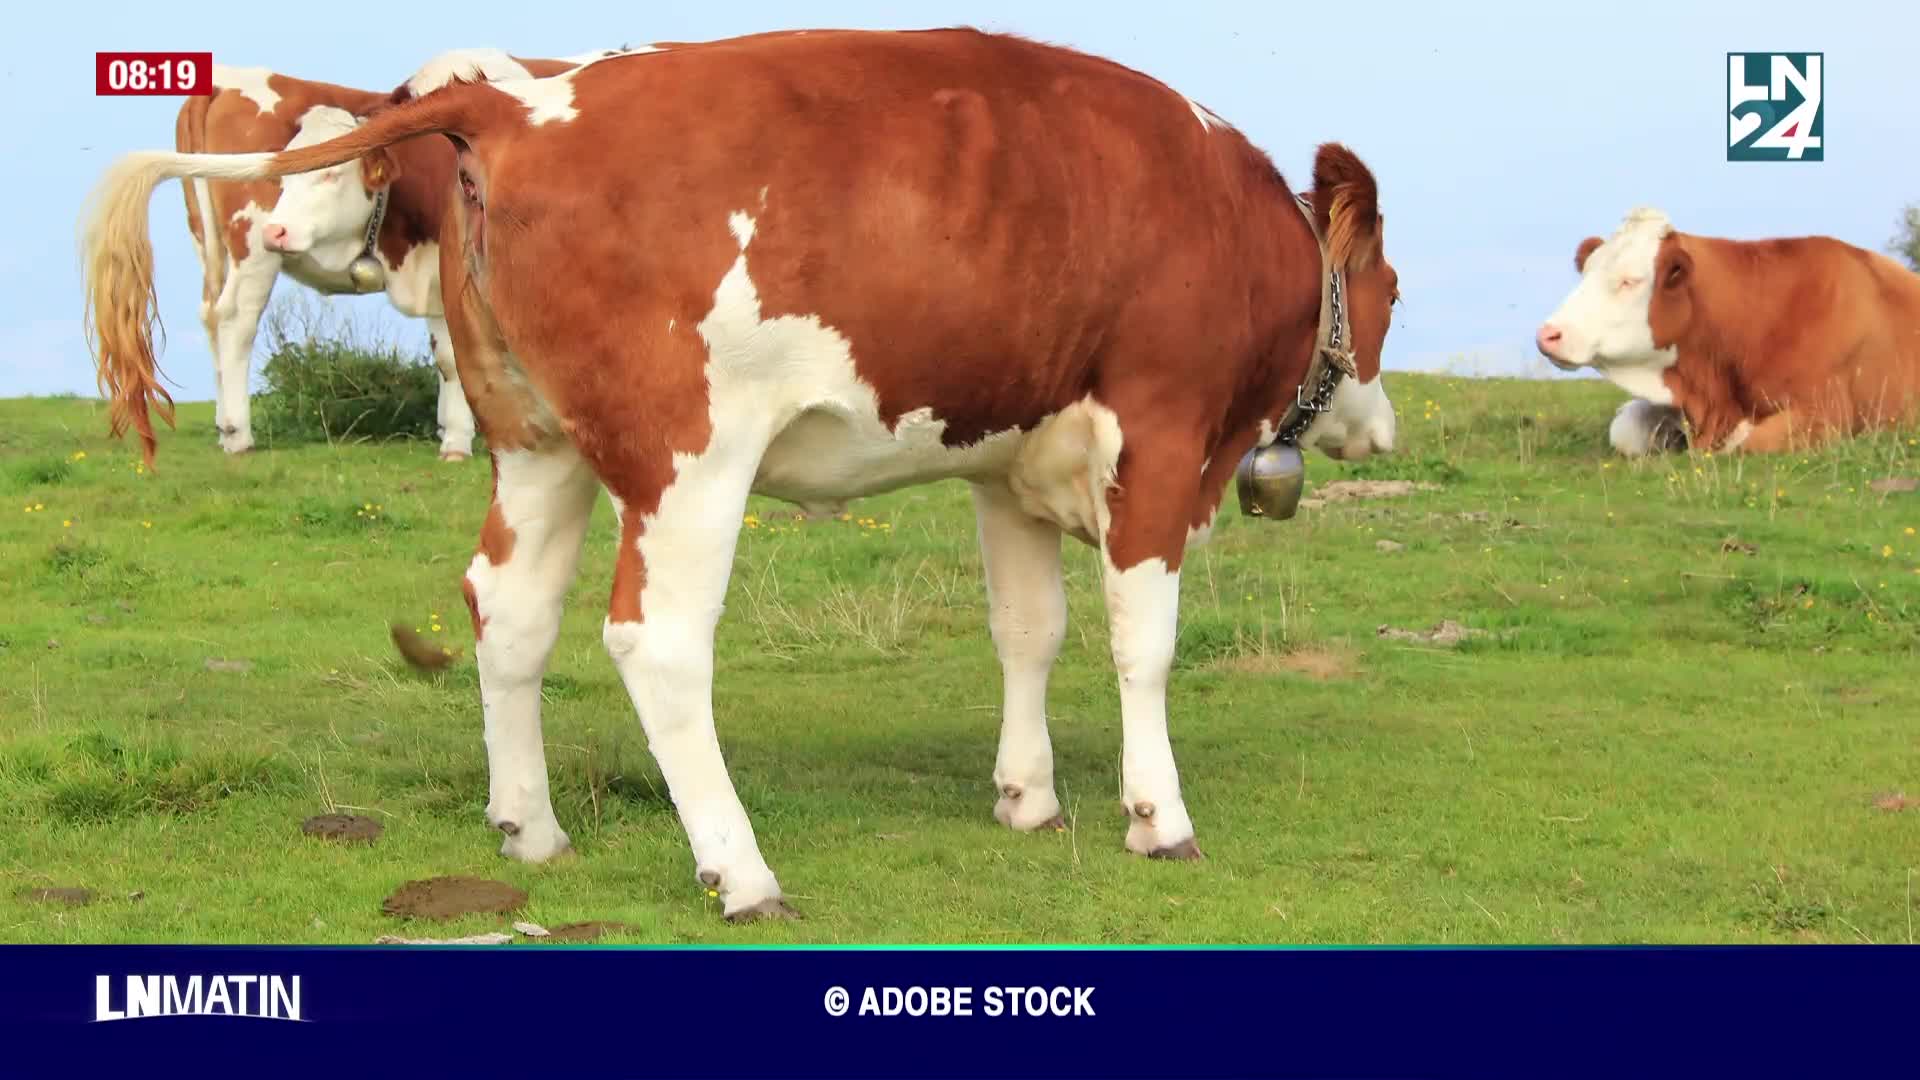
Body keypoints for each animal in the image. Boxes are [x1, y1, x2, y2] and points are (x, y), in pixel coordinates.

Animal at [169, 50, 581, 458]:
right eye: (285, 176)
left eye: (331, 173)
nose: (276, 230)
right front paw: (462, 439)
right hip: (251, 248)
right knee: (236, 320)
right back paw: (237, 433)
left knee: (213, 316)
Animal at [1536, 207, 1920, 454]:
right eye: (1586, 271)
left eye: (1630, 281)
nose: (1548, 334)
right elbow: (1625, 429)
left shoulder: (1829, 412)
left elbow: (1747, 441)